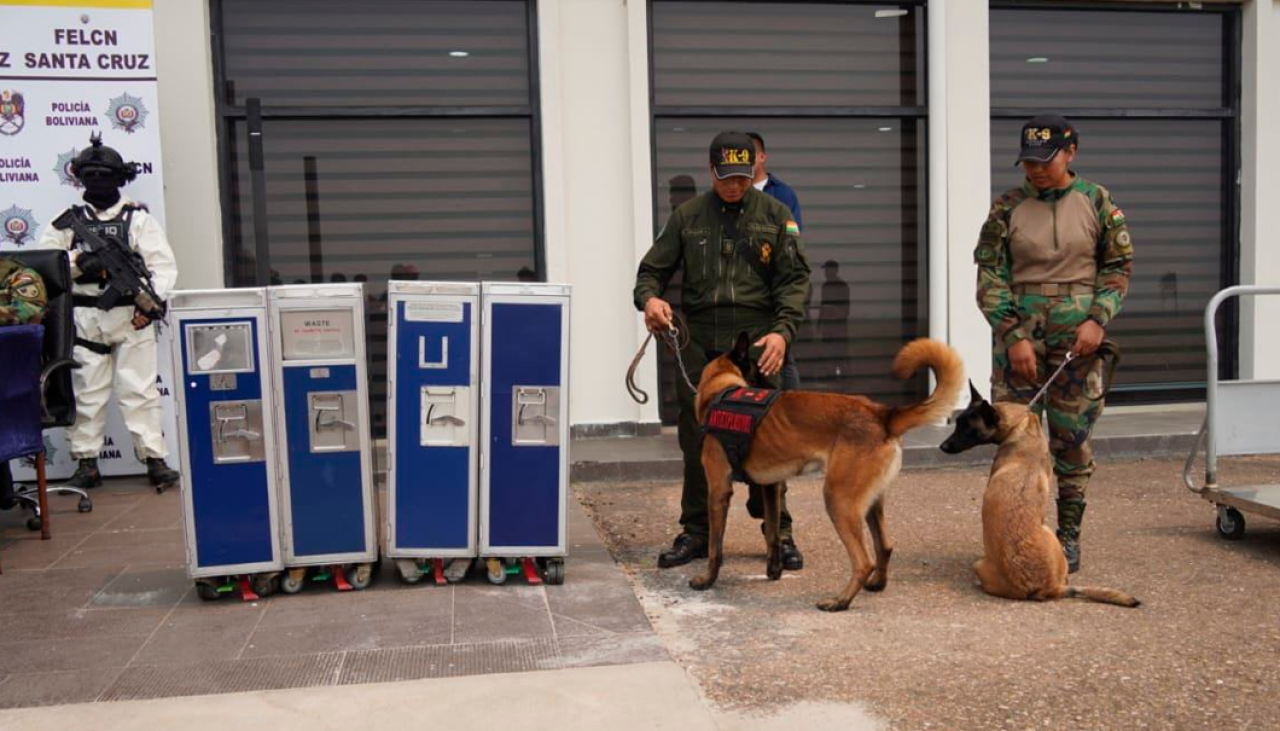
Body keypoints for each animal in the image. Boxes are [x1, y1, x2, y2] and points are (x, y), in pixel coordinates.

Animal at [691, 335, 962, 609]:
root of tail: (881, 415)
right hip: (870, 502)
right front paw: (774, 570)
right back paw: (876, 584)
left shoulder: (719, 490)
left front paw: (707, 580)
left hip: (838, 499)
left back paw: (840, 601)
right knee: (885, 545)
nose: (778, 389)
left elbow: (715, 547)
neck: (719, 388)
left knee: (863, 561)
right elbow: (772, 534)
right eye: (759, 373)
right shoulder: (771, 487)